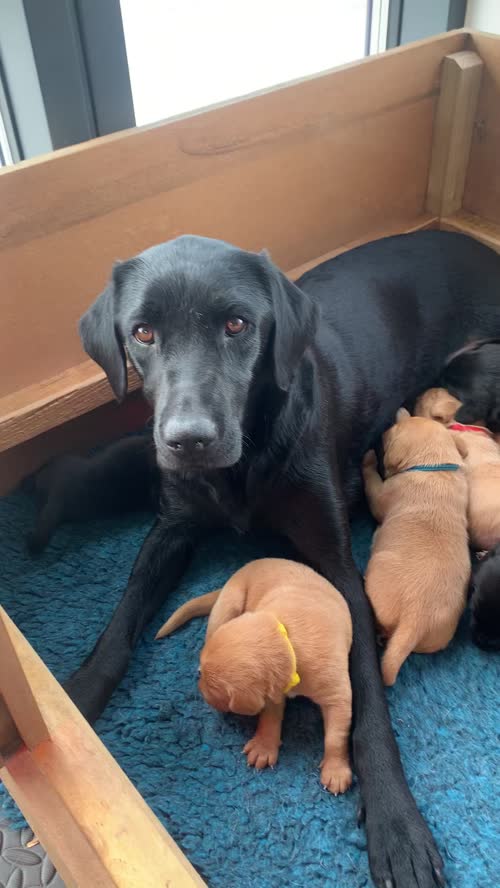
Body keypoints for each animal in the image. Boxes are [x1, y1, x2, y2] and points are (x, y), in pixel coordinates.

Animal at [156, 560, 352, 796]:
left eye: (208, 682)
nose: (199, 685)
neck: (287, 640)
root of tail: (245, 567)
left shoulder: (337, 695)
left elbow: (335, 737)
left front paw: (336, 769)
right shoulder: (274, 690)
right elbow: (269, 717)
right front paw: (264, 746)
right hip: (227, 606)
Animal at [364, 410, 468, 688]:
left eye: (390, 433)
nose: (398, 411)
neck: (435, 465)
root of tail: (416, 619)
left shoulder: (383, 493)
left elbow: (372, 482)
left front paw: (368, 460)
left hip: (379, 564)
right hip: (436, 639)